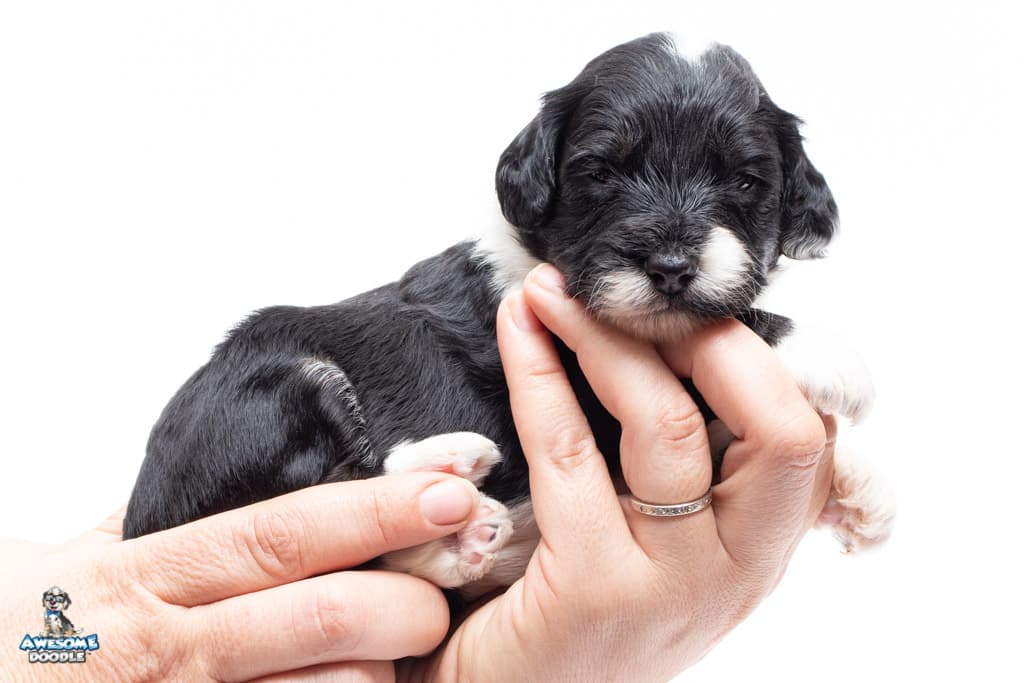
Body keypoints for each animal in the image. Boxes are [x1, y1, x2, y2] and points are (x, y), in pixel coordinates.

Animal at [124, 34, 893, 594]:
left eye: (744, 180)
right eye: (599, 173)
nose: (671, 268)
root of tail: (143, 523)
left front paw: (857, 486)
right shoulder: (573, 374)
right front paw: (828, 355)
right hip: (270, 387)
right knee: (326, 488)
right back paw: (450, 475)